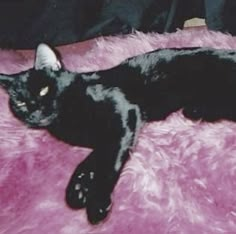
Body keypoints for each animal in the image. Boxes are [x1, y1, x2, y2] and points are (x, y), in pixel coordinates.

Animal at [0, 44, 236, 225]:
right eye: (19, 102)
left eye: (44, 90)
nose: (34, 111)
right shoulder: (106, 139)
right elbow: (90, 161)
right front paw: (77, 189)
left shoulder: (124, 115)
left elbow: (108, 165)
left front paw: (96, 204)